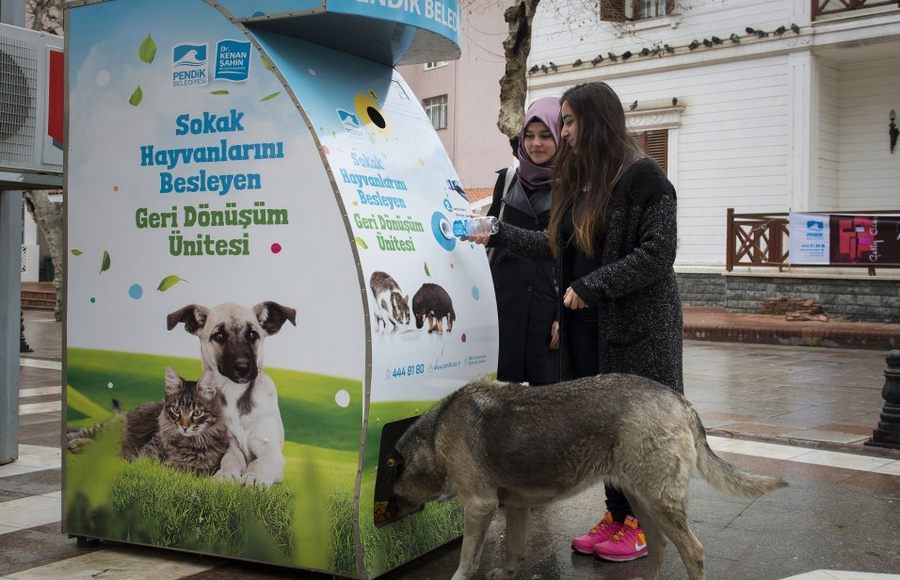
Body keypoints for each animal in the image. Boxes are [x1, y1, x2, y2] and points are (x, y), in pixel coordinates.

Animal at [167, 302, 298, 488]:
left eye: (252, 334)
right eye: (219, 336)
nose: (243, 367)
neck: (235, 392)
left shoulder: (270, 450)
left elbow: (259, 462)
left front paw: (254, 477)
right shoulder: (231, 447)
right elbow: (230, 460)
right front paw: (226, 474)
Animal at [386, 374, 788, 576]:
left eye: (393, 480)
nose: (387, 509)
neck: (434, 436)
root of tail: (679, 400)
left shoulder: (479, 507)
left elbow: (466, 561)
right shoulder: (514, 507)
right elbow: (513, 550)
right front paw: (506, 573)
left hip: (659, 502)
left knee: (693, 551)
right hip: (643, 500)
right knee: (659, 549)